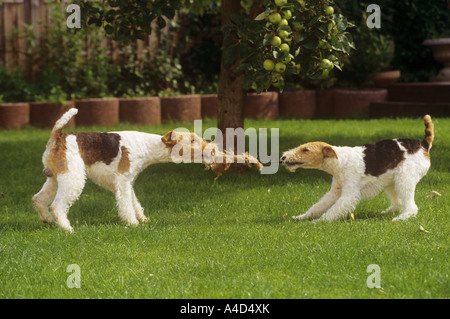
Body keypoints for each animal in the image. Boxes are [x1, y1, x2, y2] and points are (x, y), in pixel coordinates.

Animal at [32, 108, 260, 232]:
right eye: (193, 141)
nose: (213, 149)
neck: (148, 146)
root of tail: (57, 136)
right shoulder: (123, 181)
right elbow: (126, 205)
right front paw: (133, 223)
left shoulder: (127, 182)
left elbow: (134, 203)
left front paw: (143, 219)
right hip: (73, 178)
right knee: (57, 205)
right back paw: (67, 228)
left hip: (55, 179)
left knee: (38, 199)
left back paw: (47, 220)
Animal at [282, 115, 432, 222]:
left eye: (305, 150)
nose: (283, 157)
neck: (340, 161)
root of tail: (423, 144)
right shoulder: (335, 191)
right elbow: (318, 206)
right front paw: (301, 217)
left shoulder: (349, 194)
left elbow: (333, 210)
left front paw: (318, 222)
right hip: (391, 182)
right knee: (398, 203)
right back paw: (387, 212)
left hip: (404, 180)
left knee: (411, 207)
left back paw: (400, 218)